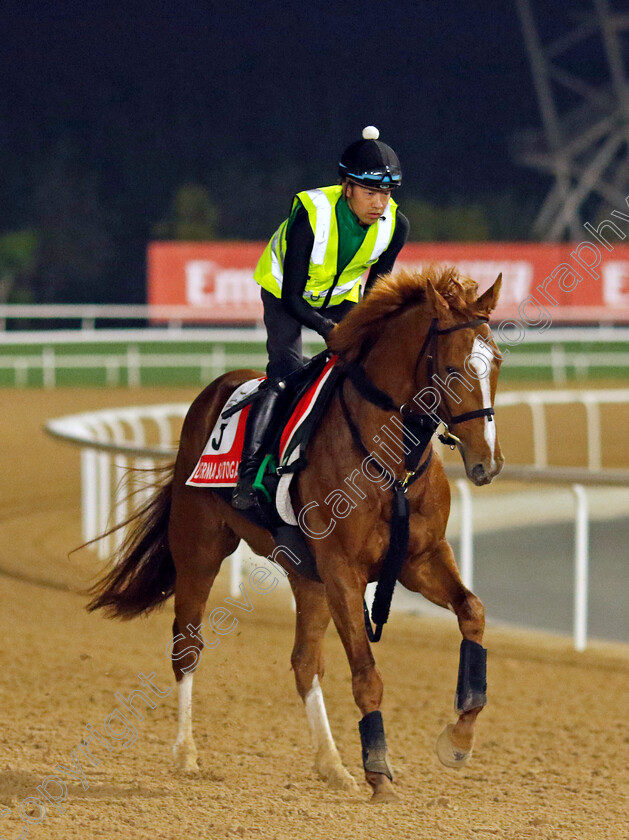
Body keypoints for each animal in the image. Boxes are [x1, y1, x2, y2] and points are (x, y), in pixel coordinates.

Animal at [88, 266, 502, 804]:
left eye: (496, 363)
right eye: (453, 369)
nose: (487, 463)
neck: (388, 459)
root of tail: (214, 391)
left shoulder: (420, 558)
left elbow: (472, 613)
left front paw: (458, 740)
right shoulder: (344, 571)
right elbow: (366, 674)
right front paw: (379, 773)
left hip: (306, 575)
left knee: (305, 662)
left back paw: (332, 766)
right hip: (201, 548)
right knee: (187, 646)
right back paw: (185, 755)